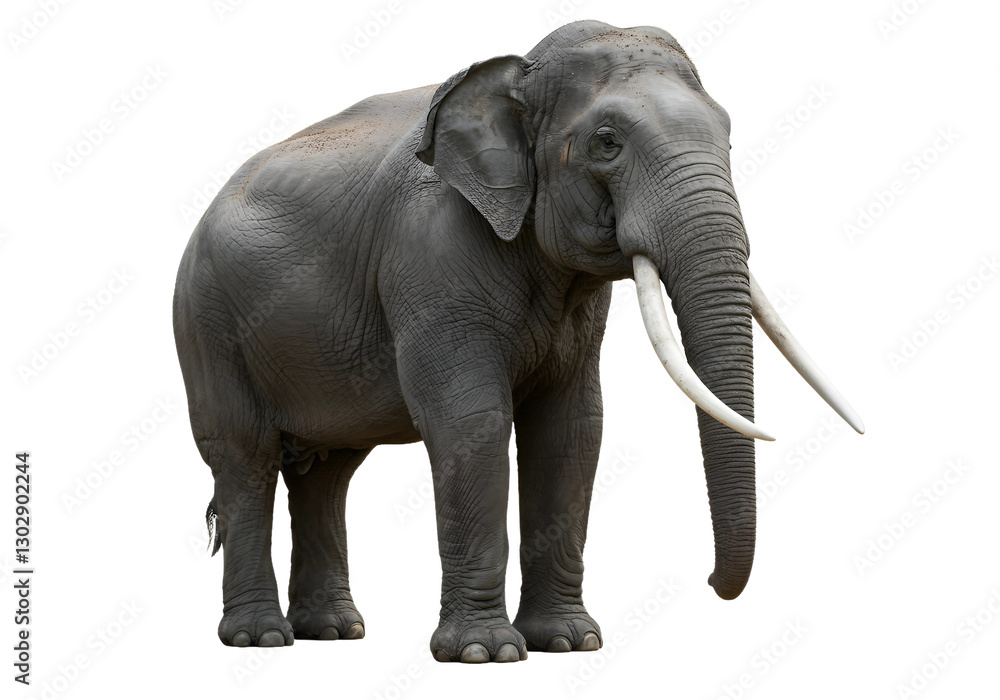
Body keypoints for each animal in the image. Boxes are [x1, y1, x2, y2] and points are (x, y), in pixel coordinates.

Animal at [173, 20, 863, 663]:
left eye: (728, 134)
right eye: (606, 143)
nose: (714, 583)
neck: (518, 74)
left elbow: (571, 430)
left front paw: (568, 643)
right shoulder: (430, 257)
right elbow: (472, 422)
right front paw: (487, 652)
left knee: (327, 472)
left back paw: (335, 633)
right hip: (205, 324)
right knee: (246, 459)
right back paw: (262, 638)